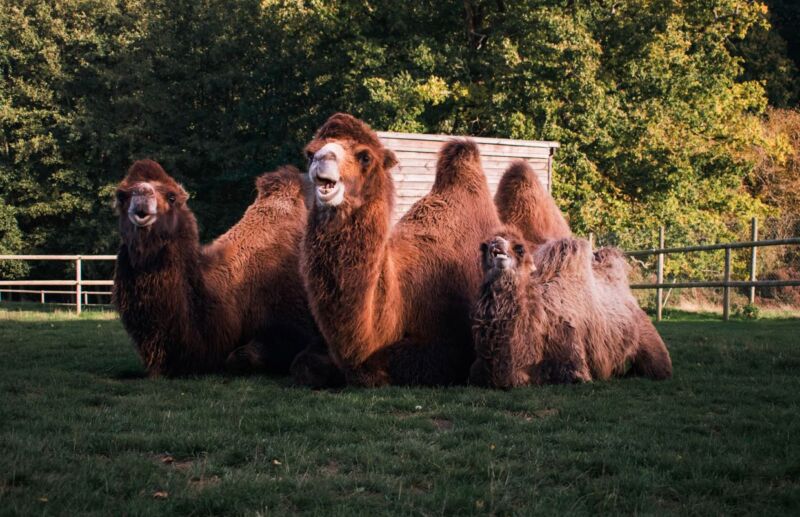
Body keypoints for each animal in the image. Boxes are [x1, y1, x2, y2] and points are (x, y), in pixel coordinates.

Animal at [470, 227, 673, 388]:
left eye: (520, 248)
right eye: (484, 246)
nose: (497, 242)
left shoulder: (571, 348)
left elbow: (578, 377)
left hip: (647, 337)